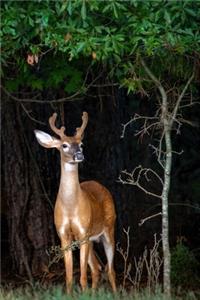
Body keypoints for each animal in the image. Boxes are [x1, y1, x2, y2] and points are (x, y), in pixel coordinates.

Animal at [33, 112, 116, 292]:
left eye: (81, 144)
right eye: (64, 145)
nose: (79, 155)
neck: (70, 208)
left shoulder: (83, 231)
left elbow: (82, 277)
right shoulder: (63, 234)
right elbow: (69, 276)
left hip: (109, 228)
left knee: (110, 269)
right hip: (91, 239)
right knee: (97, 269)